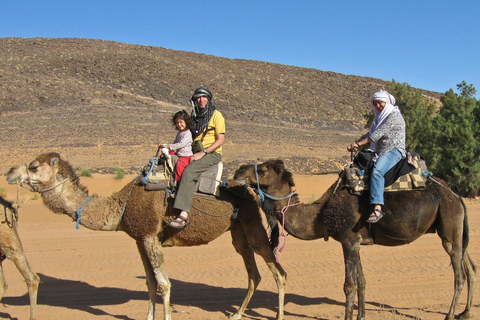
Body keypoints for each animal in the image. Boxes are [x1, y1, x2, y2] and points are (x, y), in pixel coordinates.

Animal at [3, 153, 286, 320]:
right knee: (254, 272)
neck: (122, 205)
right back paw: (237, 314)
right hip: (238, 231)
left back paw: (278, 315)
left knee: (278, 271)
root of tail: (252, 191)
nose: (9, 172)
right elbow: (150, 283)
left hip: (252, 224)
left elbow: (164, 284)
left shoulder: (150, 236)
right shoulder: (140, 239)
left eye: (34, 166)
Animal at [233, 160, 476, 320]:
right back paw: (465, 312)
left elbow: (349, 285)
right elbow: (362, 281)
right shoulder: (357, 242)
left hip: (449, 222)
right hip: (453, 229)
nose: (237, 171)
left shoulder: (348, 240)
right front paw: (361, 317)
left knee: (459, 274)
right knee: (470, 266)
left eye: (263, 169)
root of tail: (456, 195)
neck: (321, 214)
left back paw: (450, 315)